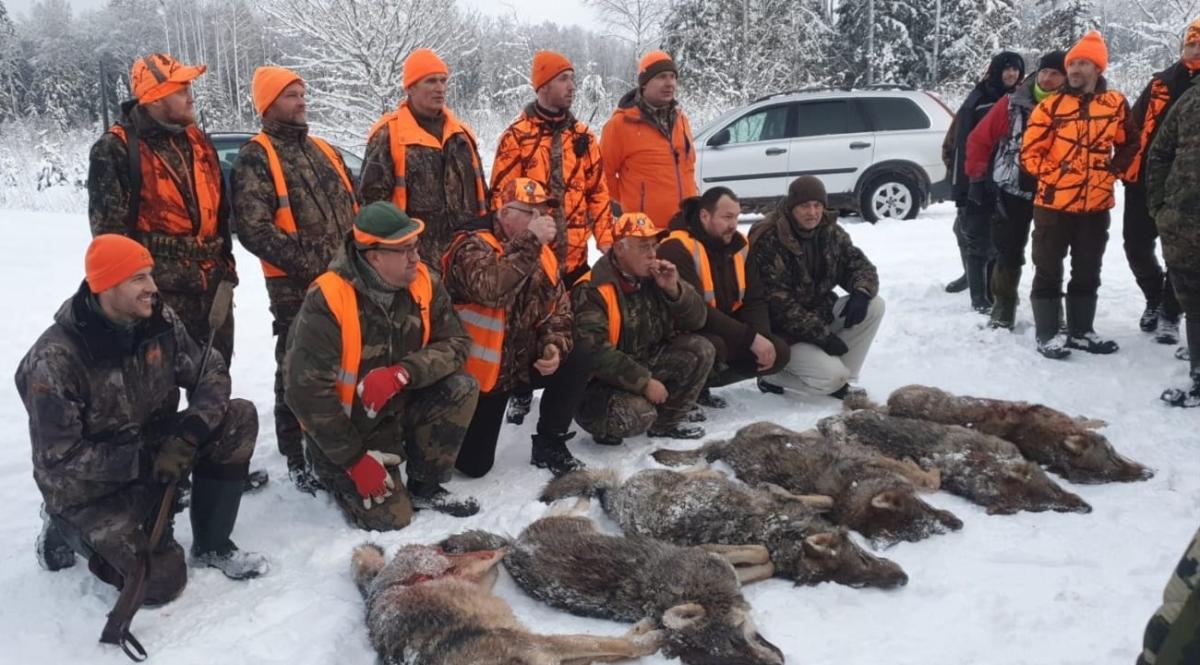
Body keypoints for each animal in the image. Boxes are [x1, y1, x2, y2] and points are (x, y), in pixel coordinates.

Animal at [351, 542, 664, 665]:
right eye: (443, 549)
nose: (444, 547)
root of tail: (379, 590)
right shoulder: (542, 649)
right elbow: (610, 646)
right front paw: (651, 639)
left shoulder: (542, 650)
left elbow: (607, 647)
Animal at [441, 506, 786, 665]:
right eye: (732, 649)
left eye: (738, 641)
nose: (780, 662)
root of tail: (516, 548)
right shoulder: (709, 553)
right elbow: (763, 555)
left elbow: (762, 558)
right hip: (577, 525)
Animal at [540, 467, 908, 589]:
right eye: (863, 564)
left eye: (859, 582)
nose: (903, 579)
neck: (782, 535)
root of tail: (616, 495)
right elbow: (760, 556)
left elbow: (822, 499)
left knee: (705, 471)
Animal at [652, 422, 963, 546]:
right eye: (920, 519)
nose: (959, 525)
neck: (855, 486)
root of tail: (728, 448)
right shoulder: (877, 462)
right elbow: (927, 480)